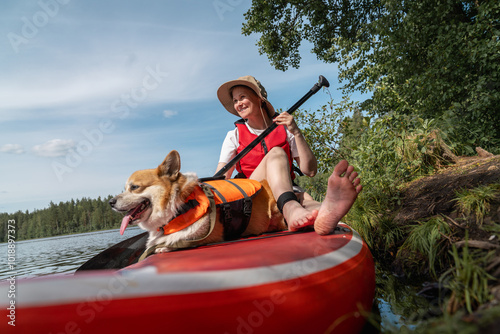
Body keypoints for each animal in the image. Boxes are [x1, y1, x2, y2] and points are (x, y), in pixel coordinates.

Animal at [109, 150, 286, 252]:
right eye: (124, 188)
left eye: (134, 187)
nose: (110, 202)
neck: (178, 206)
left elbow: (172, 242)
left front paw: (163, 248)